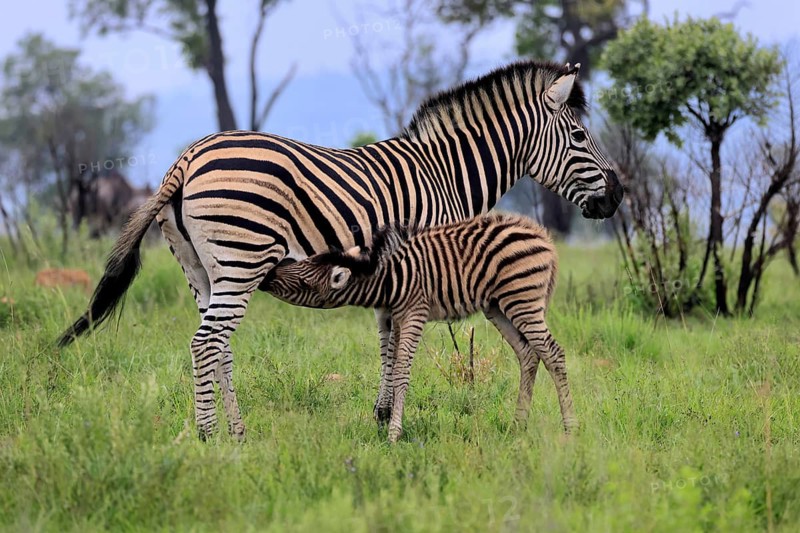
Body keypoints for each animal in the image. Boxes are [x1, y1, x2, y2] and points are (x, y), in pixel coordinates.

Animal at [263, 214, 569, 442]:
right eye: (303, 261)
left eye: (304, 284)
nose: (267, 276)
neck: (390, 278)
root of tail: (541, 234)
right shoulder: (397, 317)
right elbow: (390, 367)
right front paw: (387, 424)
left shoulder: (414, 313)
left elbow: (400, 373)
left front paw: (393, 435)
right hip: (498, 306)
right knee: (528, 354)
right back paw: (518, 425)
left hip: (522, 300)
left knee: (553, 353)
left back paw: (570, 428)